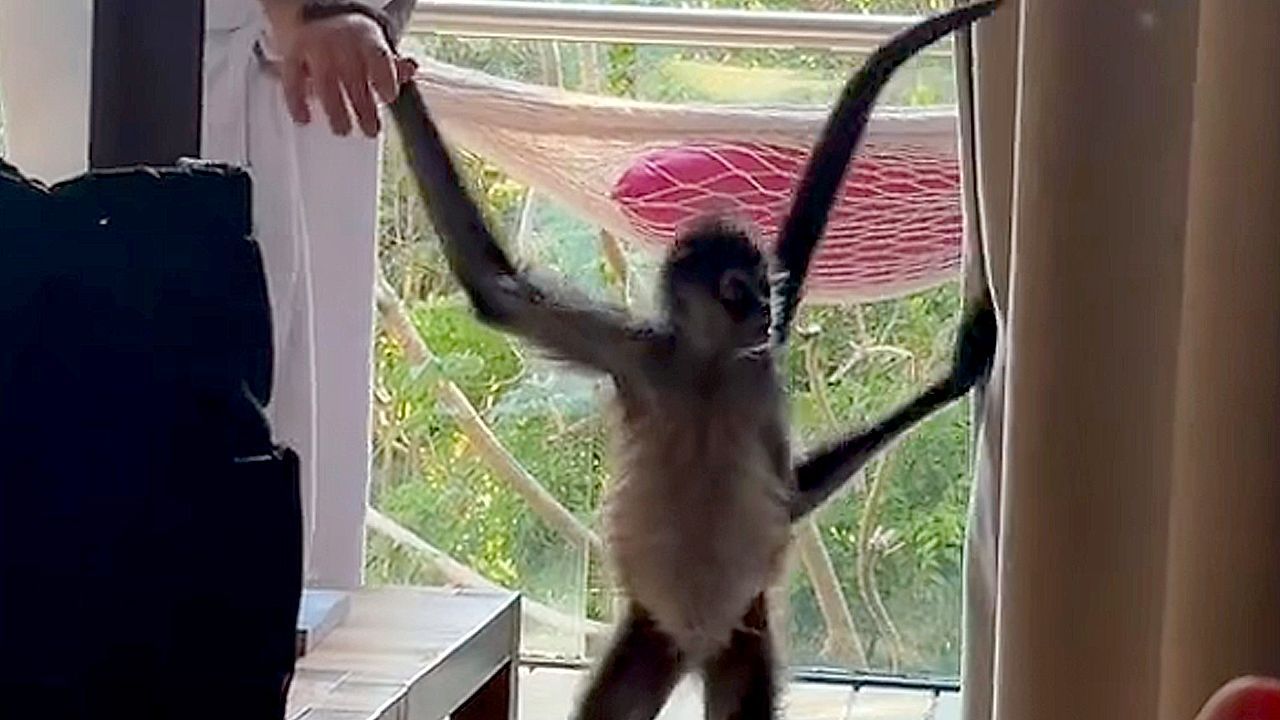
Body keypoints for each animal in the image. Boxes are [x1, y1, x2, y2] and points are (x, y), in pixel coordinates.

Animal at [301, 1, 1002, 717]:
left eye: (763, 283)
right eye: (738, 287)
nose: (768, 310)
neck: (708, 369)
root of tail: (695, 642)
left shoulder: (757, 378)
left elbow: (791, 495)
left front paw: (958, 372)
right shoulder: (638, 353)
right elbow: (495, 288)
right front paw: (386, 48)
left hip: (741, 634)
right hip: (651, 631)